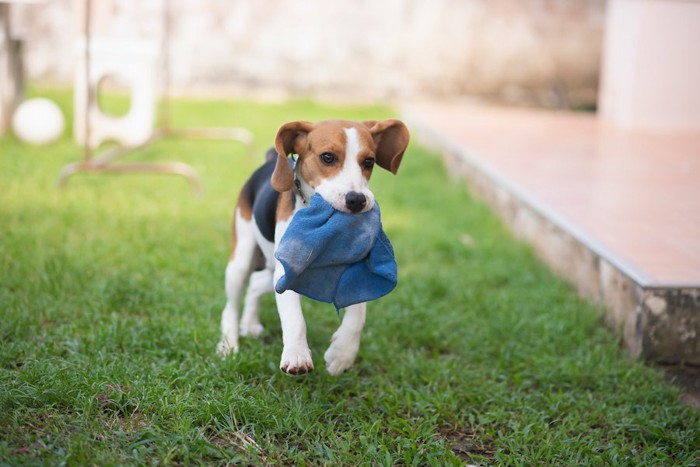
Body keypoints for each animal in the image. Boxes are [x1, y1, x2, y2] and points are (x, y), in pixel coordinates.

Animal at [216, 120, 408, 376]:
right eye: (327, 157)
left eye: (369, 161)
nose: (357, 200)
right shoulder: (287, 270)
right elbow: (294, 318)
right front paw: (297, 355)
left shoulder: (357, 273)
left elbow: (358, 314)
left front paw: (343, 354)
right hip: (241, 259)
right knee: (231, 306)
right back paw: (228, 345)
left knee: (256, 285)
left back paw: (250, 324)